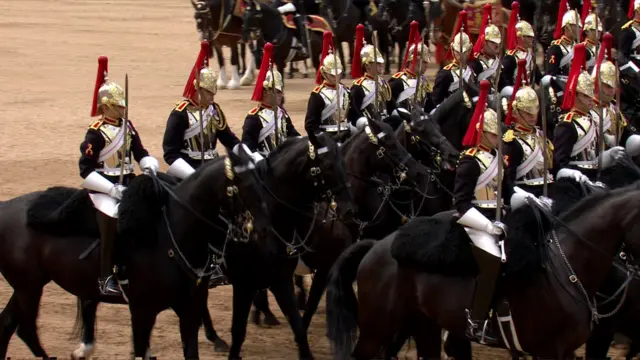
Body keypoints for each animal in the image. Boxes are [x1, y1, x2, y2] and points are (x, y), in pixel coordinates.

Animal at [0, 147, 268, 360]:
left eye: (260, 178)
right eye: (242, 184)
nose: (262, 229)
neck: (172, 236)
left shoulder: (189, 309)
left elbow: (190, 351)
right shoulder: (142, 310)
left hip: (28, 286)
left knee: (9, 325)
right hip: (29, 287)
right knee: (26, 329)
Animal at [324, 183, 640, 360]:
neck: (566, 270)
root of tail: (378, 245)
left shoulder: (564, 351)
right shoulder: (550, 351)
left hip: (421, 325)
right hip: (377, 329)